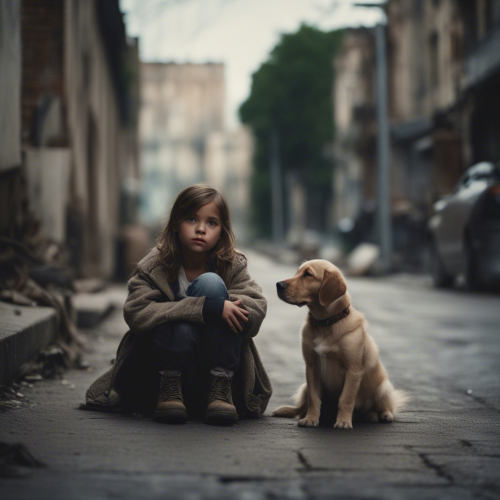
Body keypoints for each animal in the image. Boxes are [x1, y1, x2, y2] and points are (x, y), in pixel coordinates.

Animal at [272, 260, 408, 428]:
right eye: (296, 273)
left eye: (308, 274)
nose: (278, 284)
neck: (325, 324)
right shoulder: (311, 367)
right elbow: (314, 399)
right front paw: (311, 419)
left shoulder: (353, 370)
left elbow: (345, 399)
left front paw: (343, 422)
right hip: (304, 387)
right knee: (301, 407)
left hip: (383, 388)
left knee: (386, 405)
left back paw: (381, 415)